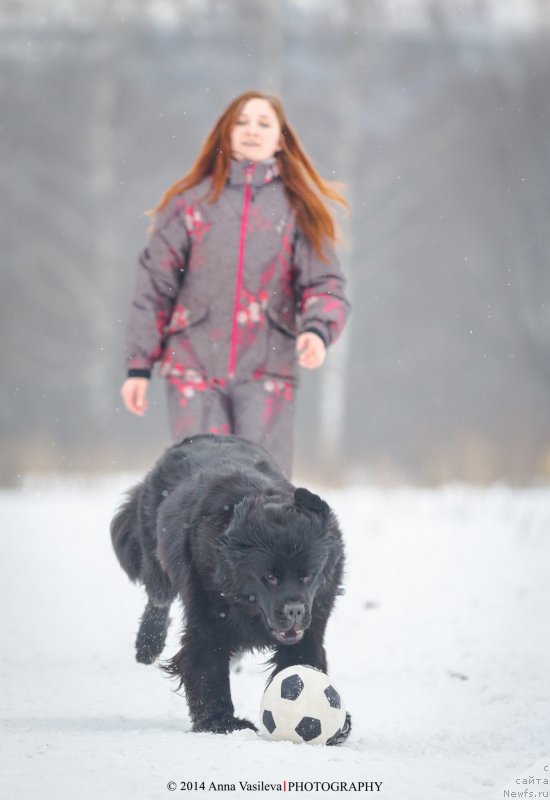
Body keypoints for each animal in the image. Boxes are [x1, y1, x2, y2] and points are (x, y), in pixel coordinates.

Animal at [111, 434, 352, 740]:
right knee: (158, 596)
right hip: (155, 555)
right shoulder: (207, 619)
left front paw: (336, 727)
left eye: (308, 575)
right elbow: (208, 668)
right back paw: (147, 644)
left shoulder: (312, 621)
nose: (295, 610)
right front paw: (221, 722)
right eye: (269, 577)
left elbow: (303, 662)